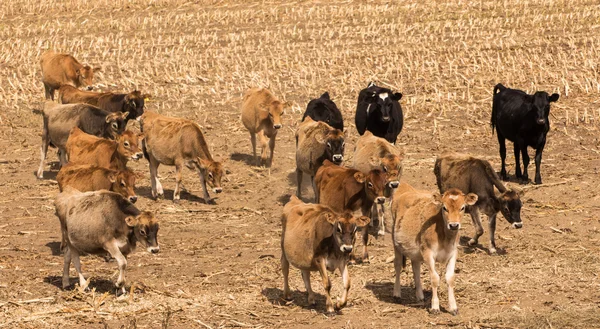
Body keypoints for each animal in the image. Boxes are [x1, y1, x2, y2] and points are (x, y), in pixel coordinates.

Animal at [392, 183, 480, 314]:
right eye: (444, 208)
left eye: (462, 207)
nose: (454, 225)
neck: (445, 238)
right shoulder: (428, 253)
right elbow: (434, 278)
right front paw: (434, 306)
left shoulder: (453, 253)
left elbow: (450, 278)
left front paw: (453, 307)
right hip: (396, 243)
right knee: (397, 265)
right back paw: (397, 294)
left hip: (415, 250)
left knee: (415, 267)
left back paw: (420, 296)